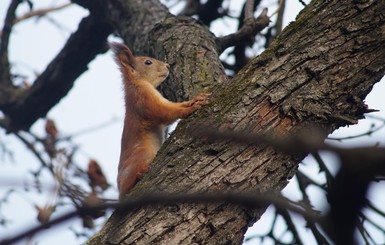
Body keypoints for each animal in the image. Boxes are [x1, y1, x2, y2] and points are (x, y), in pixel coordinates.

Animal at [108, 42, 210, 199]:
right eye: (148, 62)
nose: (168, 66)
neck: (136, 83)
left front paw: (194, 100)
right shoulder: (144, 100)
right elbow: (165, 112)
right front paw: (191, 108)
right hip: (142, 153)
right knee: (128, 184)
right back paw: (140, 173)